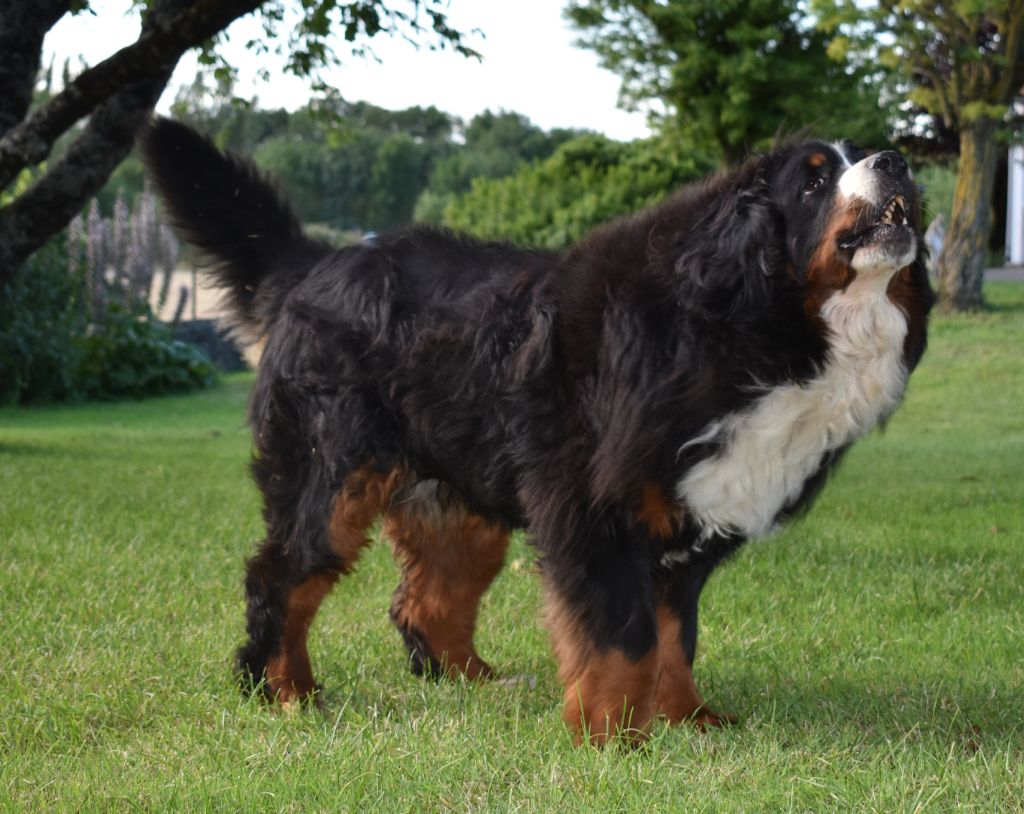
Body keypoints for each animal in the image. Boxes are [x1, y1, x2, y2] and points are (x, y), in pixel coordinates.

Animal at [140, 117, 933, 749]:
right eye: (815, 177)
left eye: (865, 151)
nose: (897, 159)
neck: (751, 320)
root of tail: (322, 262)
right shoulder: (597, 510)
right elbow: (622, 639)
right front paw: (613, 737)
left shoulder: (686, 521)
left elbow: (675, 638)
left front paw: (689, 721)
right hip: (332, 474)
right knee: (283, 576)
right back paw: (286, 692)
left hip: (457, 499)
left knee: (426, 601)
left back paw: (477, 683)